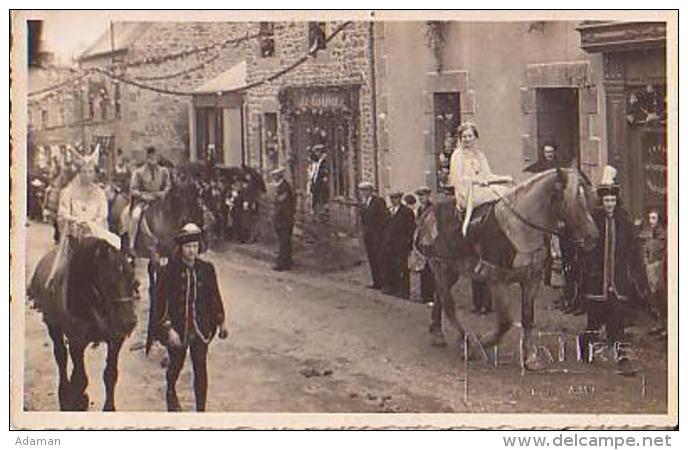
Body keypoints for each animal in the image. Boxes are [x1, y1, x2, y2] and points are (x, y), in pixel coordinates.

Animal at [27, 237, 140, 410]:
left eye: (134, 282)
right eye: (108, 282)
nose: (129, 322)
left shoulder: (115, 339)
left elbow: (110, 374)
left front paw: (108, 407)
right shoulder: (76, 340)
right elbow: (80, 377)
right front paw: (75, 398)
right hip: (53, 324)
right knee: (60, 355)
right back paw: (65, 390)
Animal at [414, 165, 600, 370]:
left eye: (589, 198)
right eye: (571, 201)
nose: (592, 237)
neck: (520, 229)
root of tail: (428, 213)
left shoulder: (532, 279)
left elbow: (527, 317)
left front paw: (531, 357)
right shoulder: (497, 280)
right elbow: (505, 322)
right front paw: (481, 344)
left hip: (451, 270)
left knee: (439, 296)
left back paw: (439, 334)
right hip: (440, 267)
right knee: (448, 305)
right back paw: (469, 342)